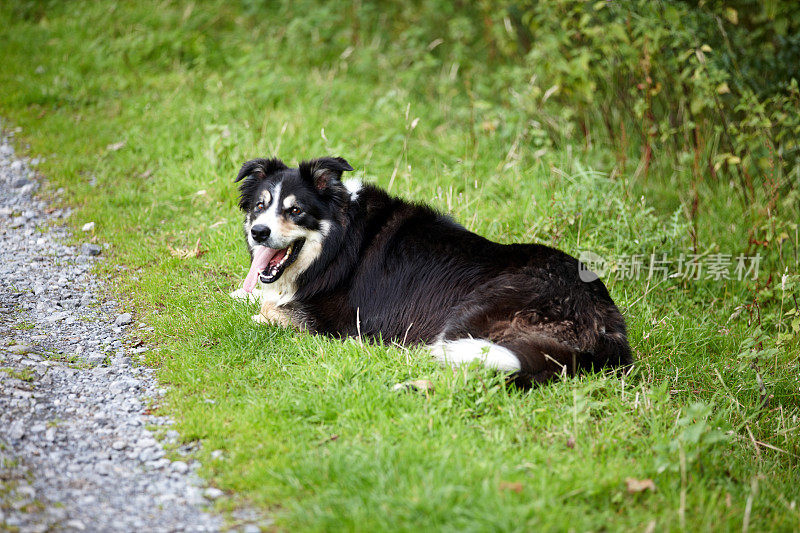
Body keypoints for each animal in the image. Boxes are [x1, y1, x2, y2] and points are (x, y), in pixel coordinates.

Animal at [230, 156, 632, 384]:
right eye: (260, 206)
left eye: (295, 210)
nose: (259, 232)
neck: (338, 242)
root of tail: (604, 324)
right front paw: (241, 292)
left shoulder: (334, 319)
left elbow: (273, 310)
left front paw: (259, 309)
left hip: (473, 314)